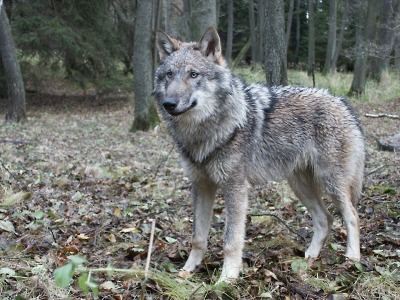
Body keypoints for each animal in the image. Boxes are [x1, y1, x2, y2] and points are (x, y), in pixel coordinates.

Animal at [153, 27, 366, 282]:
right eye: (169, 75)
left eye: (193, 74)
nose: (169, 103)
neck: (203, 132)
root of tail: (343, 103)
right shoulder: (201, 185)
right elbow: (198, 237)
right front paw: (187, 270)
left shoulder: (235, 187)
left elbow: (231, 240)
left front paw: (227, 278)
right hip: (299, 185)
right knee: (326, 219)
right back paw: (309, 258)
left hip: (330, 182)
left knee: (352, 215)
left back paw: (352, 258)